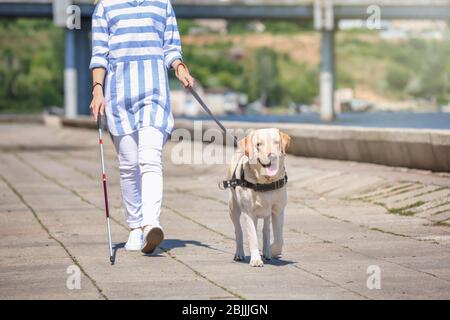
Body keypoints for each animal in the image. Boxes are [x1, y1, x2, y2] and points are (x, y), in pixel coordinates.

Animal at [225, 129, 292, 266]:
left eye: (276, 142)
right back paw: (239, 253)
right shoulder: (249, 213)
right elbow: (253, 237)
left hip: (266, 213)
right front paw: (256, 259)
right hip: (233, 207)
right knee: (238, 230)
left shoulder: (278, 211)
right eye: (258, 144)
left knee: (265, 229)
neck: (265, 183)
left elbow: (279, 239)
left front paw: (272, 250)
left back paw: (267, 251)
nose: (271, 155)